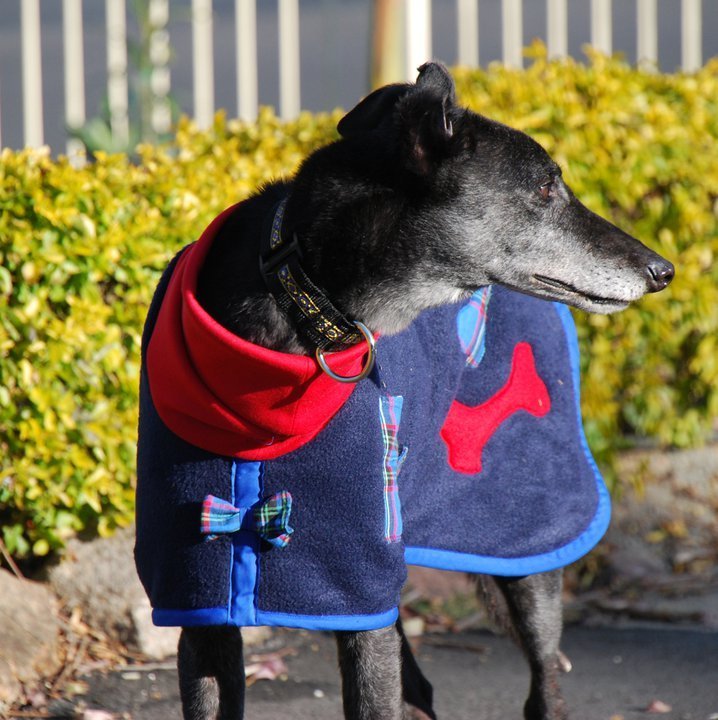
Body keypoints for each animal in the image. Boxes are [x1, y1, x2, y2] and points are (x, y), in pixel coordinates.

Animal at [135, 62, 673, 720]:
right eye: (547, 187)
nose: (663, 271)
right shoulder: (204, 605)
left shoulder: (359, 589)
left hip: (522, 539)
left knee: (545, 678)